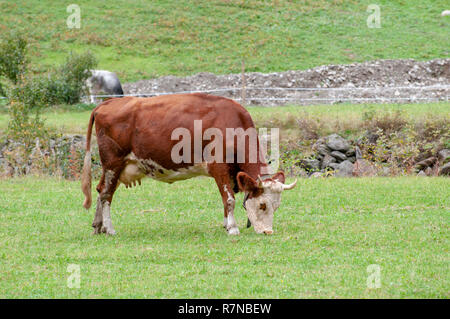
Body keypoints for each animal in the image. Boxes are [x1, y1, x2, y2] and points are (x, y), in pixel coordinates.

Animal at [81, 94, 298, 236]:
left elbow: (225, 200)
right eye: (262, 205)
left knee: (100, 190)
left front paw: (226, 224)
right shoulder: (219, 167)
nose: (268, 232)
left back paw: (98, 225)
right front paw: (233, 228)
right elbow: (229, 199)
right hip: (113, 163)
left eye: (276, 206)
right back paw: (109, 228)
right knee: (106, 194)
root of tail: (108, 103)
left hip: (118, 167)